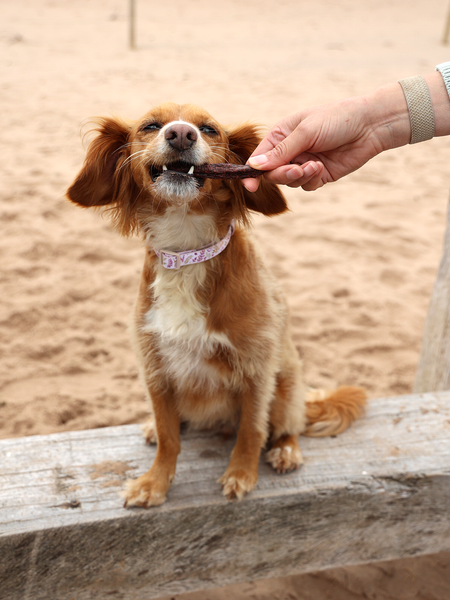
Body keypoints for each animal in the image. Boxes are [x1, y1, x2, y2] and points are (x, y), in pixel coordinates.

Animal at [67, 102, 370, 506]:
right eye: (150, 126)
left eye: (209, 129)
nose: (181, 134)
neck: (186, 251)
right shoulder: (156, 370)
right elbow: (169, 438)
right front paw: (154, 482)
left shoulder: (257, 369)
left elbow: (252, 430)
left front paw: (241, 474)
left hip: (287, 380)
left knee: (289, 423)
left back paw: (287, 450)